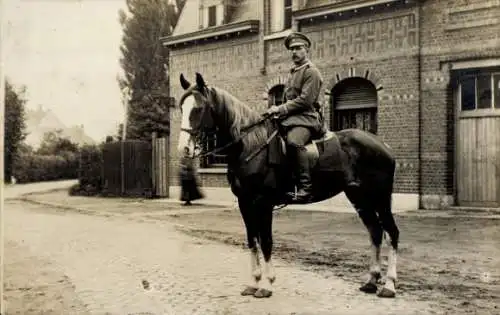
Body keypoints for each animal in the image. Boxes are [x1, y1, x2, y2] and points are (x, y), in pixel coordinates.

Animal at [177, 73, 402, 300]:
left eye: (199, 108)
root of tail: (383, 146)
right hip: (360, 198)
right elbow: (252, 240)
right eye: (181, 107)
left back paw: (389, 285)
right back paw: (371, 281)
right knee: (375, 232)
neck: (250, 145)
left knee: (391, 232)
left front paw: (267, 285)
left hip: (380, 198)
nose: (183, 149)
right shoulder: (244, 203)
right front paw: (254, 282)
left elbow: (266, 241)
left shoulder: (263, 203)